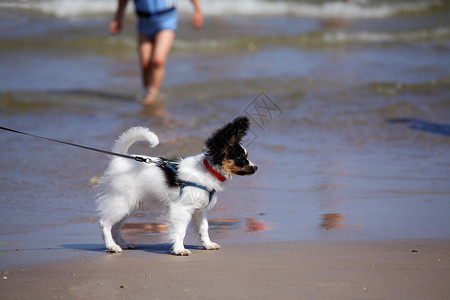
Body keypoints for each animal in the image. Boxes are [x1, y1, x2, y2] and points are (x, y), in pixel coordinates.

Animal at [96, 116, 256, 254]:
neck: (207, 169)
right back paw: (112, 246)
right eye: (242, 159)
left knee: (116, 226)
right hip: (122, 202)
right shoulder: (181, 208)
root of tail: (120, 159)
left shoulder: (199, 210)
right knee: (105, 223)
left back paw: (123, 243)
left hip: (128, 205)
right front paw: (179, 249)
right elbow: (180, 230)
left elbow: (204, 228)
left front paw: (208, 244)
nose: (256, 168)